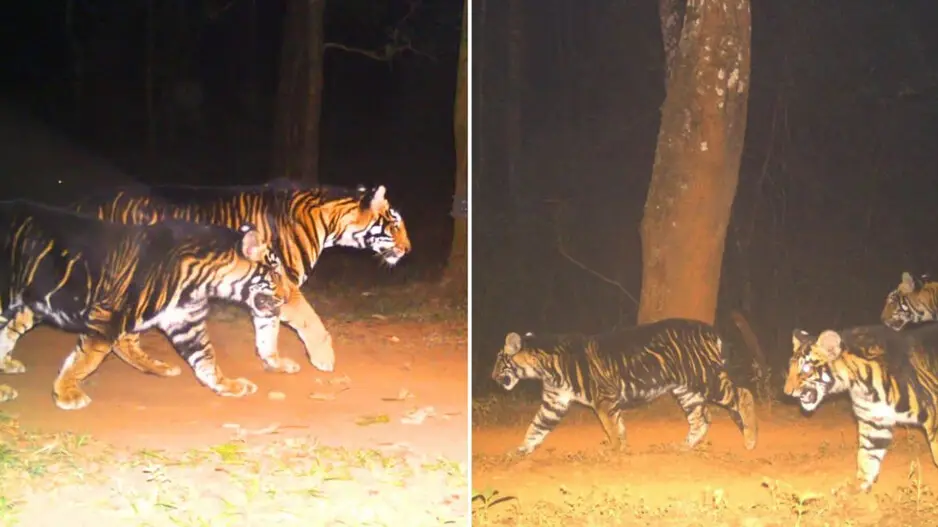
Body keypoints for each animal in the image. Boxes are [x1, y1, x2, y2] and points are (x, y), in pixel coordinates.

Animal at [0, 199, 294, 410]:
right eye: (276, 273)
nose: (287, 296)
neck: (205, 280)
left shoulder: (185, 321)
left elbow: (206, 358)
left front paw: (228, 386)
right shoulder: (108, 315)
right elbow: (87, 358)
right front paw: (66, 394)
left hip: (26, 306)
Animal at [62, 181, 412, 376]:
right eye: (395, 224)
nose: (409, 249)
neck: (330, 222)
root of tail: (82, 202)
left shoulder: (268, 290)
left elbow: (267, 330)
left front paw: (274, 363)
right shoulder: (284, 281)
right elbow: (308, 319)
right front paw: (324, 359)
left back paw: (154, 368)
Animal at [491, 318, 758, 457]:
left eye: (499, 360)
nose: (492, 376)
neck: (544, 368)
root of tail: (711, 329)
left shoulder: (603, 399)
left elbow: (611, 427)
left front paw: (615, 450)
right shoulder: (554, 403)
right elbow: (536, 427)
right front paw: (520, 450)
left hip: (708, 379)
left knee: (743, 395)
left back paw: (750, 440)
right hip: (687, 390)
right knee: (700, 419)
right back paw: (683, 446)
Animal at [785, 324, 938, 492]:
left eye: (806, 368)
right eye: (790, 367)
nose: (786, 392)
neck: (859, 383)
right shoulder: (875, 422)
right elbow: (867, 458)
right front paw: (856, 489)